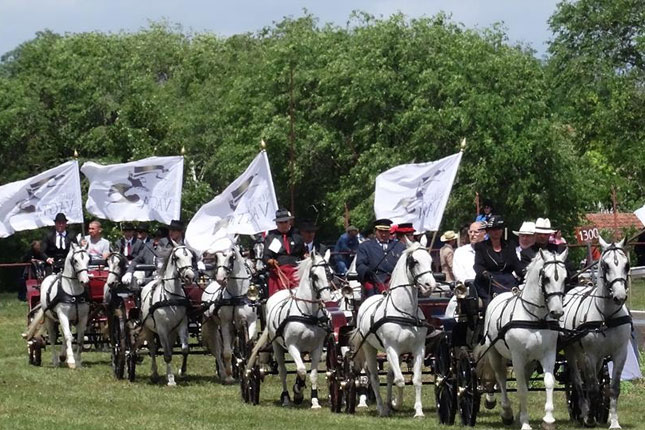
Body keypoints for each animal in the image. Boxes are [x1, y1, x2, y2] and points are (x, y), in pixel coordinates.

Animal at [136, 245, 194, 386]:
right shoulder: (161, 329)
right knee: (152, 349)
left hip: (171, 332)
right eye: (176, 257)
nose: (190, 276)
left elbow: (184, 349)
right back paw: (155, 374)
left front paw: (182, 371)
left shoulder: (182, 325)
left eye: (191, 257)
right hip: (149, 329)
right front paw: (171, 379)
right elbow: (166, 355)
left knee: (169, 348)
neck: (171, 297)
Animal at [204, 245, 260, 382]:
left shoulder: (250, 322)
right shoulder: (225, 324)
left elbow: (249, 347)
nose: (220, 278)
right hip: (213, 326)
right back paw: (224, 373)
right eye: (216, 256)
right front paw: (229, 377)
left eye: (231, 256)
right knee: (218, 350)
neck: (237, 296)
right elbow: (227, 353)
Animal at [350, 244, 436, 418]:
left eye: (431, 261)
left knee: (389, 376)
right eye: (414, 262)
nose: (430, 285)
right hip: (370, 348)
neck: (404, 313)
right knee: (374, 377)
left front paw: (418, 411)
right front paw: (397, 403)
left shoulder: (418, 349)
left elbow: (416, 380)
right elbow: (401, 381)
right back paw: (382, 408)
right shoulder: (391, 349)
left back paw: (388, 405)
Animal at [476, 249, 568, 430]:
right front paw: (525, 423)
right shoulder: (517, 357)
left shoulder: (548, 354)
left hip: (530, 362)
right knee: (501, 378)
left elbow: (548, 382)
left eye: (564, 278)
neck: (534, 318)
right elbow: (522, 389)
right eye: (546, 278)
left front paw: (548, 420)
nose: (557, 312)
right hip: (495, 353)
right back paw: (506, 412)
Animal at [564, 237, 628, 428]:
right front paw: (590, 418)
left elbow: (613, 388)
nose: (620, 297)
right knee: (578, 382)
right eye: (606, 265)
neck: (606, 317)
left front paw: (614, 422)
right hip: (572, 351)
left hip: (598, 358)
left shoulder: (620, 353)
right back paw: (584, 412)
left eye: (626, 265)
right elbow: (591, 388)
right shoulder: (589, 355)